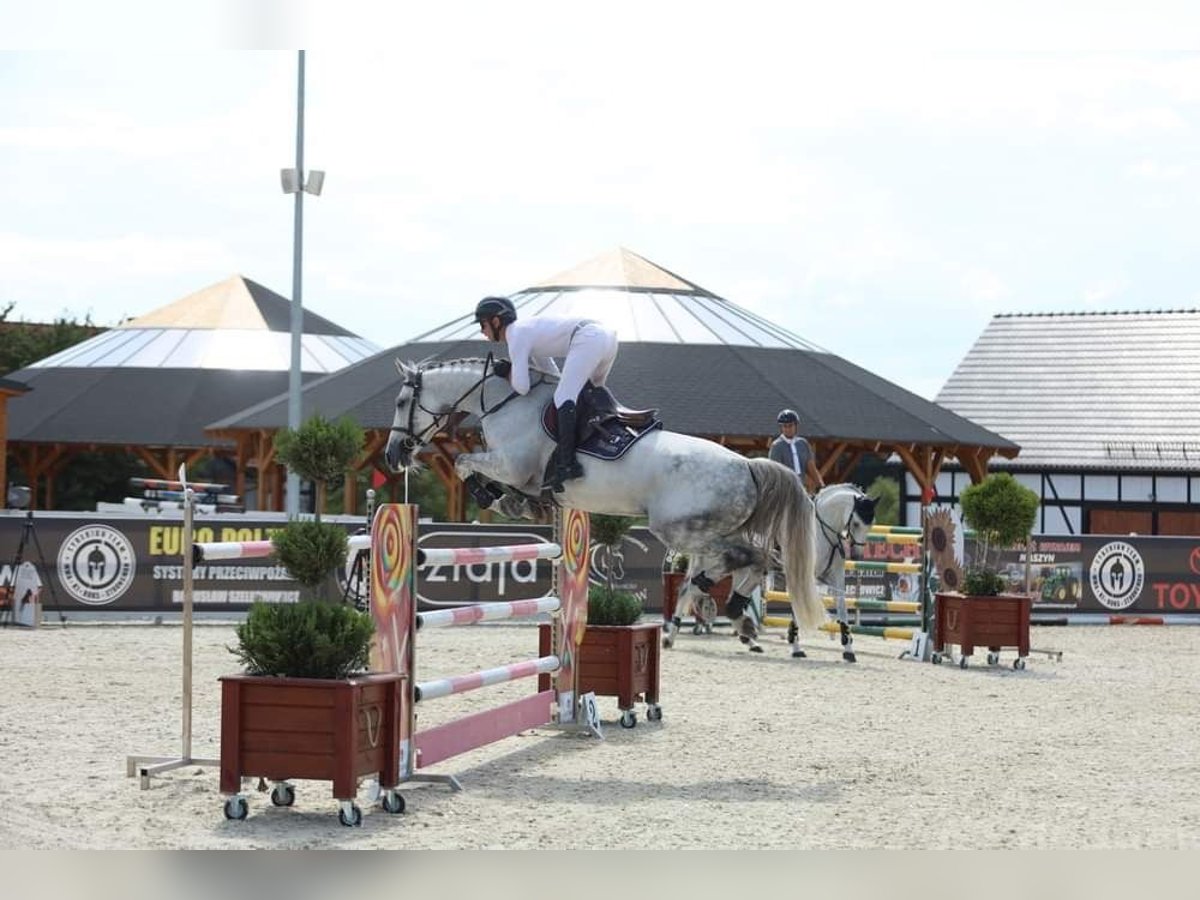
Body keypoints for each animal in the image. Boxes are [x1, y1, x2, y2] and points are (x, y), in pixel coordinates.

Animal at [384, 355, 825, 643]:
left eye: (402, 403)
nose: (393, 455)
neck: (504, 401)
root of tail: (748, 465)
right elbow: (478, 470)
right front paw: (520, 504)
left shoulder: (510, 466)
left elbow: (463, 463)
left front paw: (501, 499)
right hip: (708, 528)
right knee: (755, 560)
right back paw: (734, 611)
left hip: (679, 529)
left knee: (747, 557)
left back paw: (726, 606)